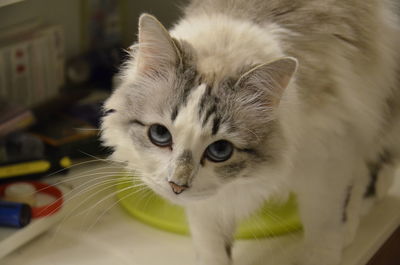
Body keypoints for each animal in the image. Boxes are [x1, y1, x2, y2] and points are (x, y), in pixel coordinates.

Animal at [101, 1, 400, 262]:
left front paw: (327, 251)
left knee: (367, 171)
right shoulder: (209, 205)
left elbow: (323, 231)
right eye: (160, 135)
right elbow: (212, 246)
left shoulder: (328, 161)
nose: (177, 186)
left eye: (220, 150)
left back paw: (353, 222)